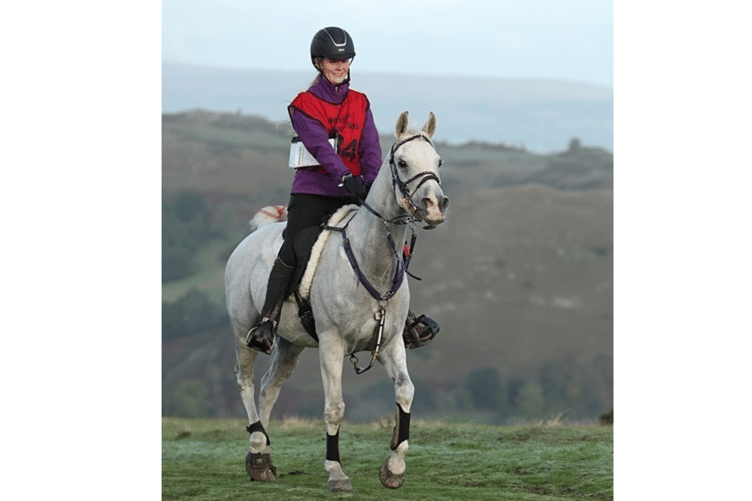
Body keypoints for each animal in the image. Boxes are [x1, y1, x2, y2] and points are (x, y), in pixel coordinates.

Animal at [224, 111, 449, 492]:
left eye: (438, 161)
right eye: (403, 162)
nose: (435, 206)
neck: (371, 262)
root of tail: (254, 236)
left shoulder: (390, 343)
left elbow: (405, 392)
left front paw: (394, 467)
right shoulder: (331, 344)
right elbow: (335, 407)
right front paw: (336, 472)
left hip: (291, 343)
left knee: (269, 388)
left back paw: (262, 458)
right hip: (244, 332)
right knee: (246, 381)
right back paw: (256, 445)